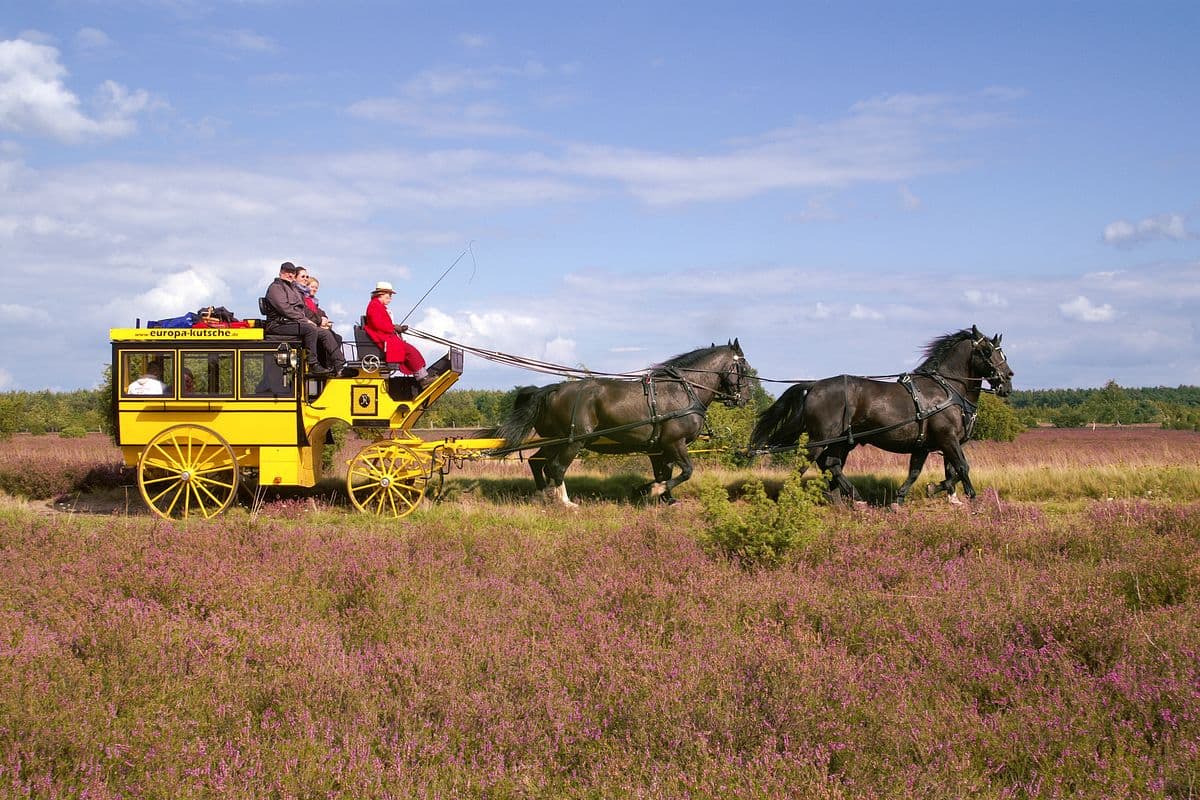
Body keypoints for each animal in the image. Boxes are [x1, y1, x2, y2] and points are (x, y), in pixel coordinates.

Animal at [494, 340, 748, 506]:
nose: (744, 398)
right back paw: (565, 502)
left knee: (537, 462)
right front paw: (653, 491)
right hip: (573, 441)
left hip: (555, 439)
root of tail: (554, 389)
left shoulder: (659, 448)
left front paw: (663, 498)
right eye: (744, 367)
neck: (681, 392)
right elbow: (685, 471)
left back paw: (542, 495)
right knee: (556, 467)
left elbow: (664, 472)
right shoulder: (675, 442)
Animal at [748, 326, 1012, 506]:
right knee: (808, 463)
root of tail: (814, 385)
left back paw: (848, 497)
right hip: (821, 439)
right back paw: (792, 496)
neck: (947, 390)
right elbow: (963, 467)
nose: (1007, 380)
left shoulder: (928, 444)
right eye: (987, 351)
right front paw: (972, 497)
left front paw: (913, 496)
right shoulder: (947, 438)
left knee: (832, 464)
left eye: (1003, 353)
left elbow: (931, 472)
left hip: (841, 441)